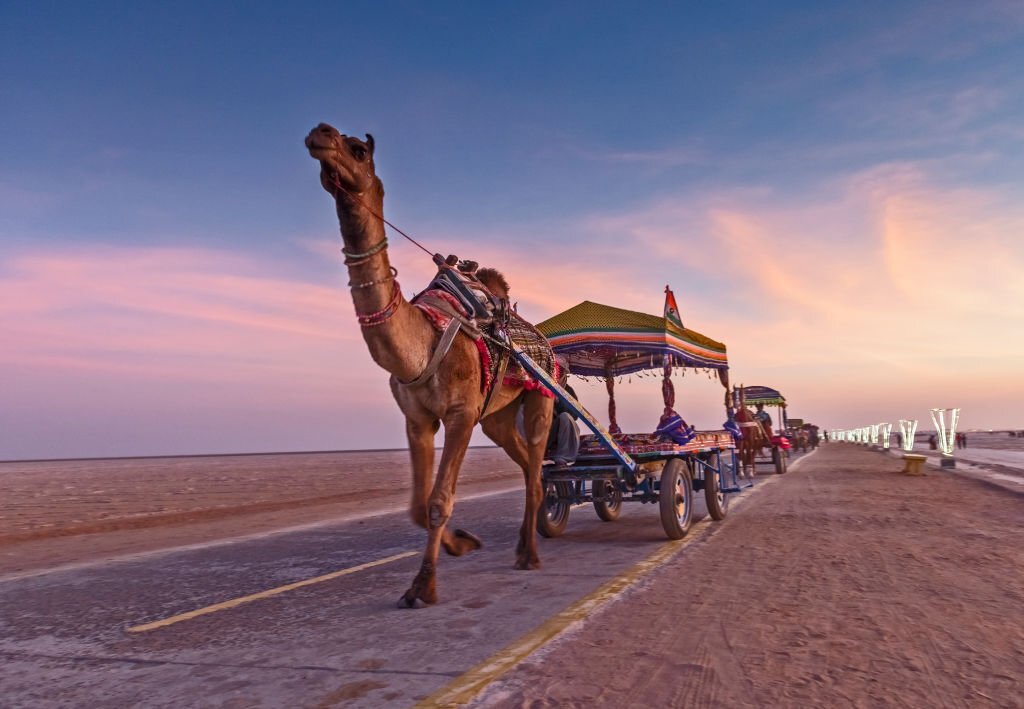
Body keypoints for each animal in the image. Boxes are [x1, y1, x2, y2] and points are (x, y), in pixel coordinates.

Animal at [305, 123, 552, 610]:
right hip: (495, 418)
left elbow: (439, 501)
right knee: (520, 461)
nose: (319, 133)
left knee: (535, 468)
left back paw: (531, 555)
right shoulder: (418, 417)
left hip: (542, 400)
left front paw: (424, 585)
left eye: (357, 150)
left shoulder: (460, 413)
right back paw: (521, 544)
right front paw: (462, 543)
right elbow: (417, 506)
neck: (422, 343)